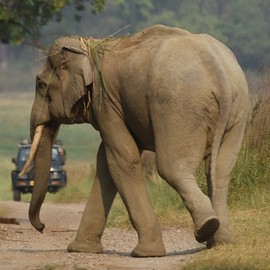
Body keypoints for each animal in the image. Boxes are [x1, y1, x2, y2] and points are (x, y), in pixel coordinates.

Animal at [20, 24, 250, 258]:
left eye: (41, 85)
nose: (42, 227)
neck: (90, 46)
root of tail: (219, 74)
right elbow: (106, 162)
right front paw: (80, 249)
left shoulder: (106, 102)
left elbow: (122, 157)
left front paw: (146, 253)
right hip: (237, 110)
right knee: (221, 172)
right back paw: (221, 241)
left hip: (179, 108)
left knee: (172, 169)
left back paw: (207, 228)